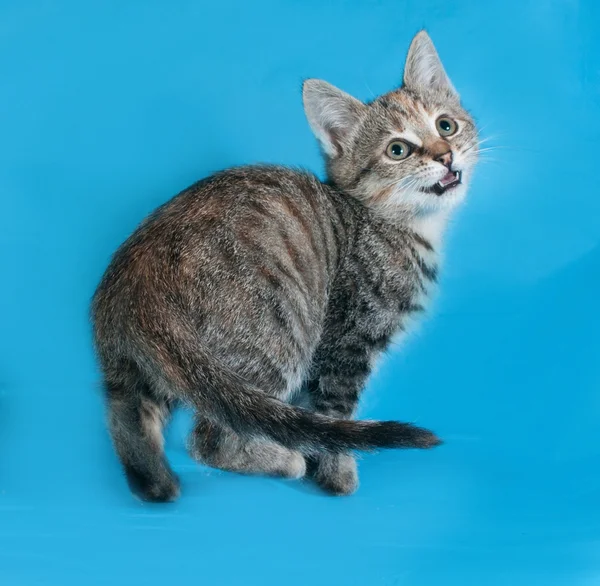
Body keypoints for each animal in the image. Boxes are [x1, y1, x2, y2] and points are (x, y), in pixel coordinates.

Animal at [91, 29, 480, 500]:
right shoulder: (344, 341)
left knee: (133, 417)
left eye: (446, 125)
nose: (445, 155)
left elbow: (304, 419)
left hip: (148, 368)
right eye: (398, 150)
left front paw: (318, 455)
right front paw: (336, 474)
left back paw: (156, 481)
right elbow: (335, 412)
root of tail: (138, 271)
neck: (403, 225)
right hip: (278, 330)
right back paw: (282, 461)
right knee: (210, 438)